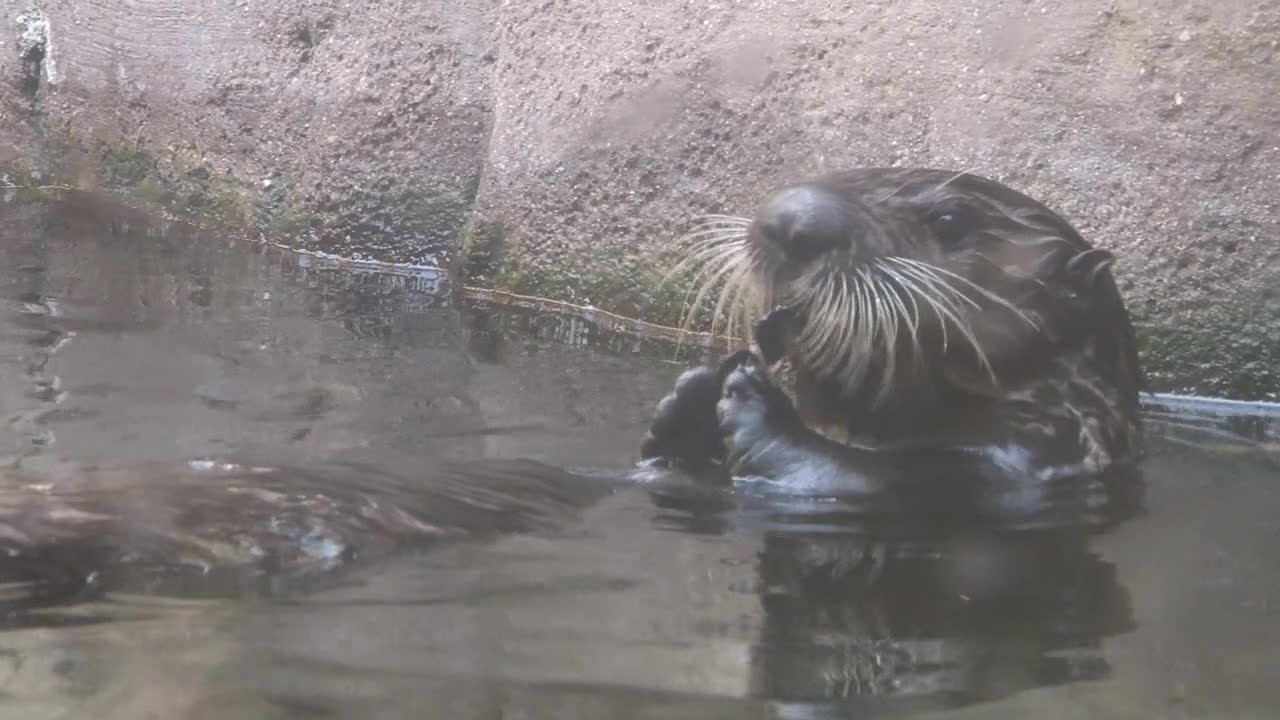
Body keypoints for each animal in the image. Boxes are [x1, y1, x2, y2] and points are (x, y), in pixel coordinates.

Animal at [641, 167, 1143, 489]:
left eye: (949, 220)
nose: (788, 223)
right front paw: (690, 398)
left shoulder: (1019, 460)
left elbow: (838, 473)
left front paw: (755, 402)